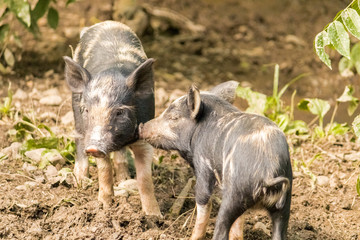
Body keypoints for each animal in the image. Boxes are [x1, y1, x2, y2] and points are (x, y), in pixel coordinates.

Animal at [63, 21, 160, 216]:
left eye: (119, 112)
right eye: (87, 109)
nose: (93, 148)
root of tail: (106, 23)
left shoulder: (144, 136)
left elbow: (145, 179)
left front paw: (155, 216)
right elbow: (104, 170)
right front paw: (104, 206)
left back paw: (124, 179)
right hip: (77, 113)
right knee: (79, 139)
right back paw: (80, 181)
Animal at [139, 81, 292, 239]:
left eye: (174, 117)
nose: (141, 126)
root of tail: (269, 172)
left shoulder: (202, 164)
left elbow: (203, 198)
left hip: (235, 194)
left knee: (221, 228)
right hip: (285, 201)